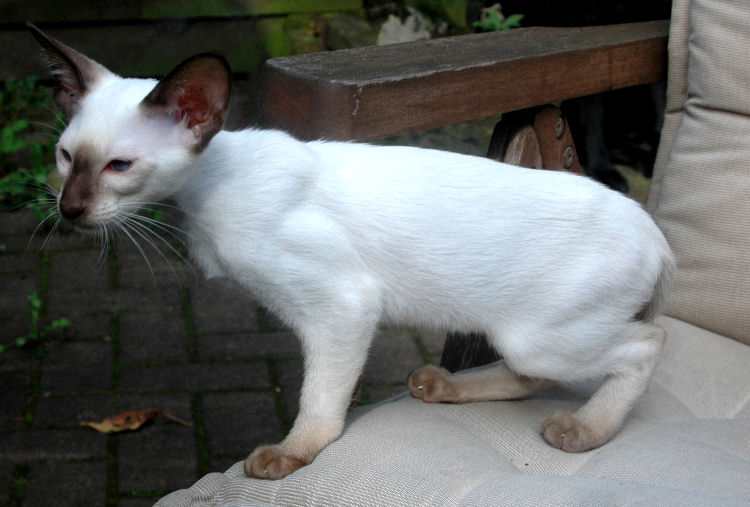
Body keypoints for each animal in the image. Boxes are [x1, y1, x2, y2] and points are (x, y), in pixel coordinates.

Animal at [29, 24, 674, 480]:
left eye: (120, 166)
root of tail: (657, 236)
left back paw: (584, 431)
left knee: (646, 344)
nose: (70, 210)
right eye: (66, 157)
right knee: (533, 376)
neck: (206, 196)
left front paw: (290, 456)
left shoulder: (343, 308)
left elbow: (320, 402)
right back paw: (441, 386)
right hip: (518, 335)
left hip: (543, 337)